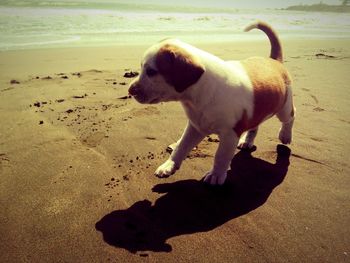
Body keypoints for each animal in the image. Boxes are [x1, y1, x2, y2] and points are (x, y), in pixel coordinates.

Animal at [129, 21, 296, 186]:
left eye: (151, 72)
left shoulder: (230, 134)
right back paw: (247, 141)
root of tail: (274, 60)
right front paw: (169, 166)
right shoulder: (195, 127)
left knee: (291, 116)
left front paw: (216, 174)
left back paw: (285, 135)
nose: (130, 90)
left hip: (284, 107)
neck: (197, 96)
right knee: (255, 125)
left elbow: (221, 156)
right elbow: (181, 147)